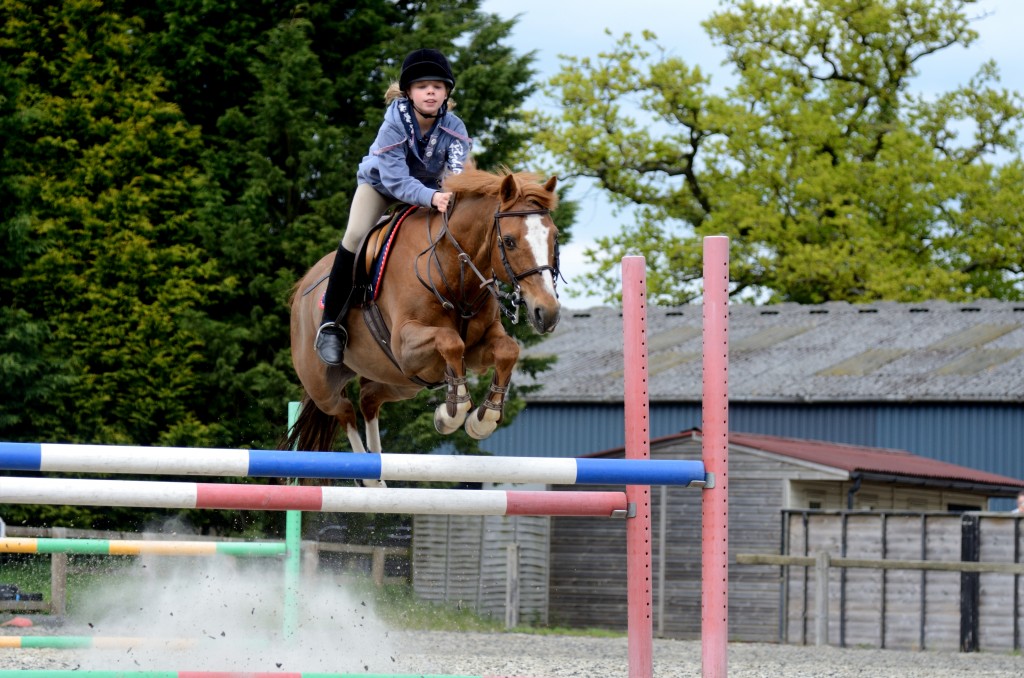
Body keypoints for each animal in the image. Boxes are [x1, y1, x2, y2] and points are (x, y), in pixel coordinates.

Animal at [286, 168, 561, 477]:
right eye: (510, 241)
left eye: (554, 238)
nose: (548, 312)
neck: (455, 271)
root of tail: (303, 285)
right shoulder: (405, 346)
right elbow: (450, 341)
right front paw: (452, 413)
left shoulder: (476, 348)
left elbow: (507, 351)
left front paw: (482, 419)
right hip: (325, 384)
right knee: (344, 410)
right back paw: (368, 478)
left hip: (401, 380)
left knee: (368, 398)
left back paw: (377, 465)